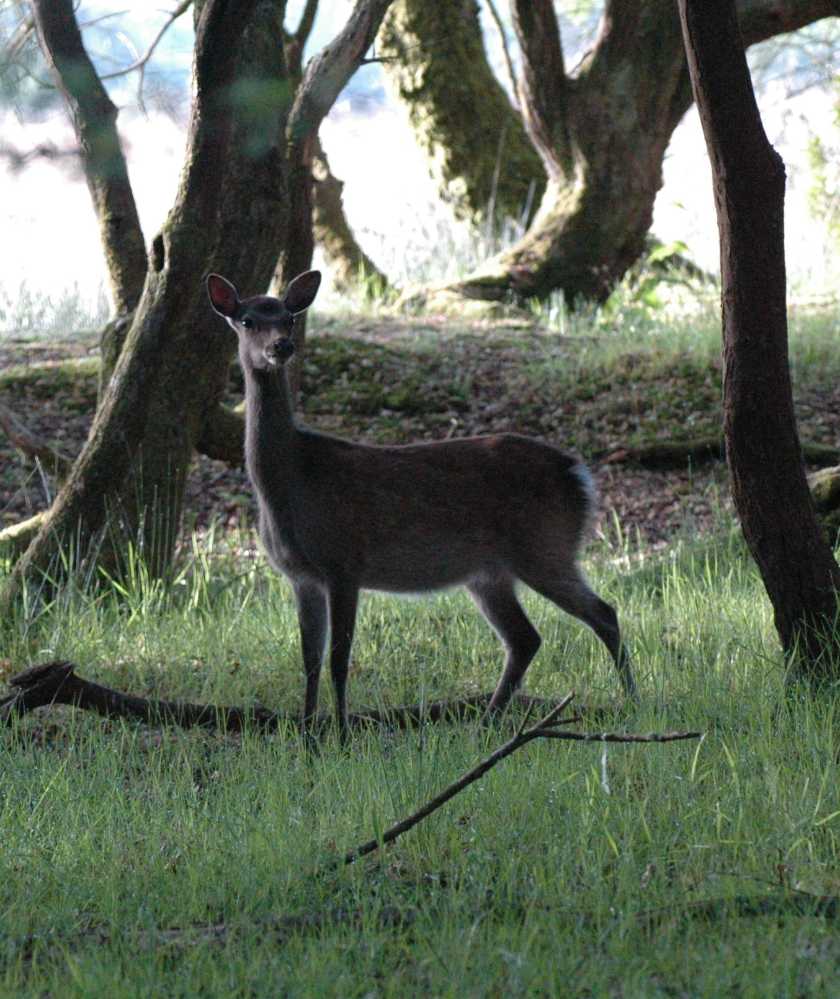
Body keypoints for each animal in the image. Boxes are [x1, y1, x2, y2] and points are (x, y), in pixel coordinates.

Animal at [207, 270, 632, 740]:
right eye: (247, 320)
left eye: (289, 317)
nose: (282, 346)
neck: (292, 483)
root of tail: (579, 474)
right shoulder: (301, 576)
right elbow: (309, 661)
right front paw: (307, 737)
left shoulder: (344, 562)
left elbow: (339, 659)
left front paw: (341, 736)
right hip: (490, 571)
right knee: (526, 638)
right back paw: (487, 722)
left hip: (544, 545)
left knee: (604, 613)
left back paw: (633, 702)